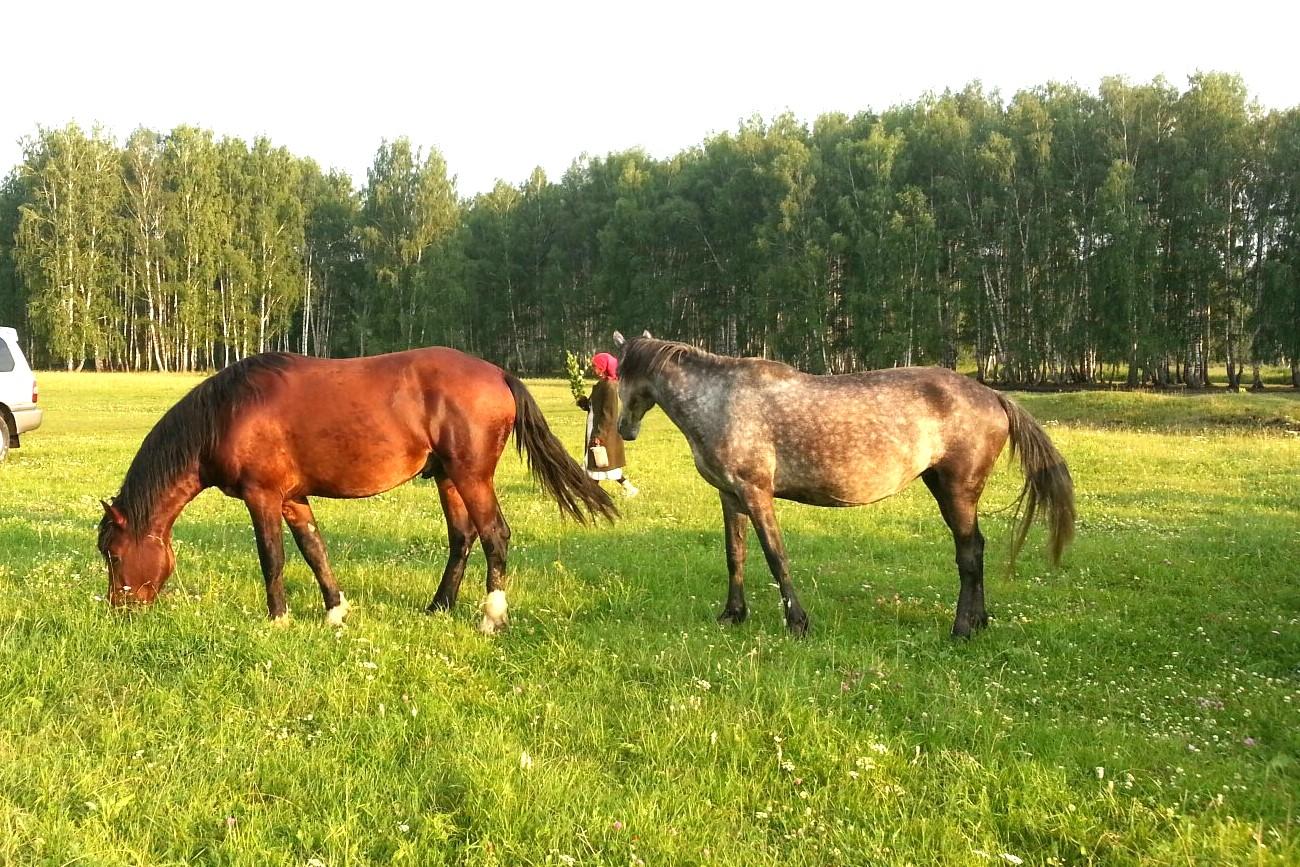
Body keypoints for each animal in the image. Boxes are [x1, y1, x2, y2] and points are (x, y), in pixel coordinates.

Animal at [98, 348, 616, 634]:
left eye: (114, 554)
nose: (119, 610)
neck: (228, 412)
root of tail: (498, 374)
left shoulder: (262, 496)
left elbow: (273, 558)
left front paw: (278, 618)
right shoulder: (292, 498)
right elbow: (314, 551)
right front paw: (335, 611)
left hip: (472, 477)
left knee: (494, 536)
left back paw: (491, 617)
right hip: (448, 478)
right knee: (462, 539)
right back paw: (439, 606)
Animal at [611, 332, 1076, 636]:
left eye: (621, 378)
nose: (624, 430)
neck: (721, 400)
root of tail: (994, 395)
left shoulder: (757, 493)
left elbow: (776, 556)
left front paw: (798, 623)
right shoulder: (731, 496)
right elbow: (735, 556)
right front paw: (733, 615)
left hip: (956, 490)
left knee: (968, 554)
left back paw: (962, 628)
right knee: (975, 549)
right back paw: (979, 622)